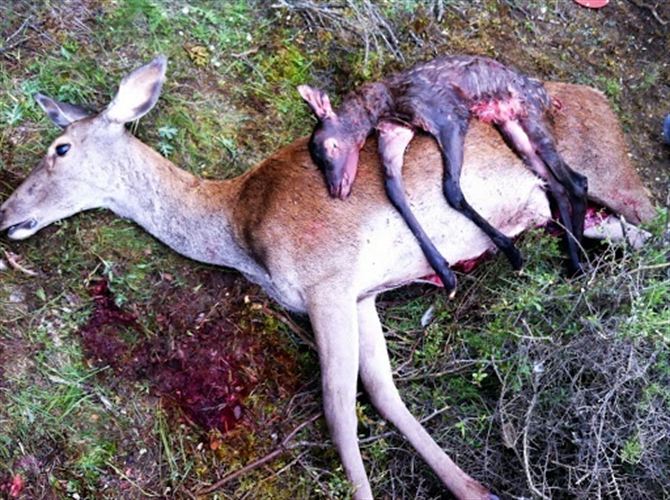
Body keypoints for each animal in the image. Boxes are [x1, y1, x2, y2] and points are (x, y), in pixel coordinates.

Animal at [299, 55, 589, 295]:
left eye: (330, 146)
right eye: (317, 158)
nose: (336, 188)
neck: (387, 106)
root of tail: (549, 97)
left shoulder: (450, 118)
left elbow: (451, 190)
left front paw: (511, 251)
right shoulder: (394, 135)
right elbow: (394, 192)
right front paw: (446, 274)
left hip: (532, 117)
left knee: (578, 181)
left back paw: (579, 260)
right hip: (513, 130)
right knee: (557, 185)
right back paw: (573, 258)